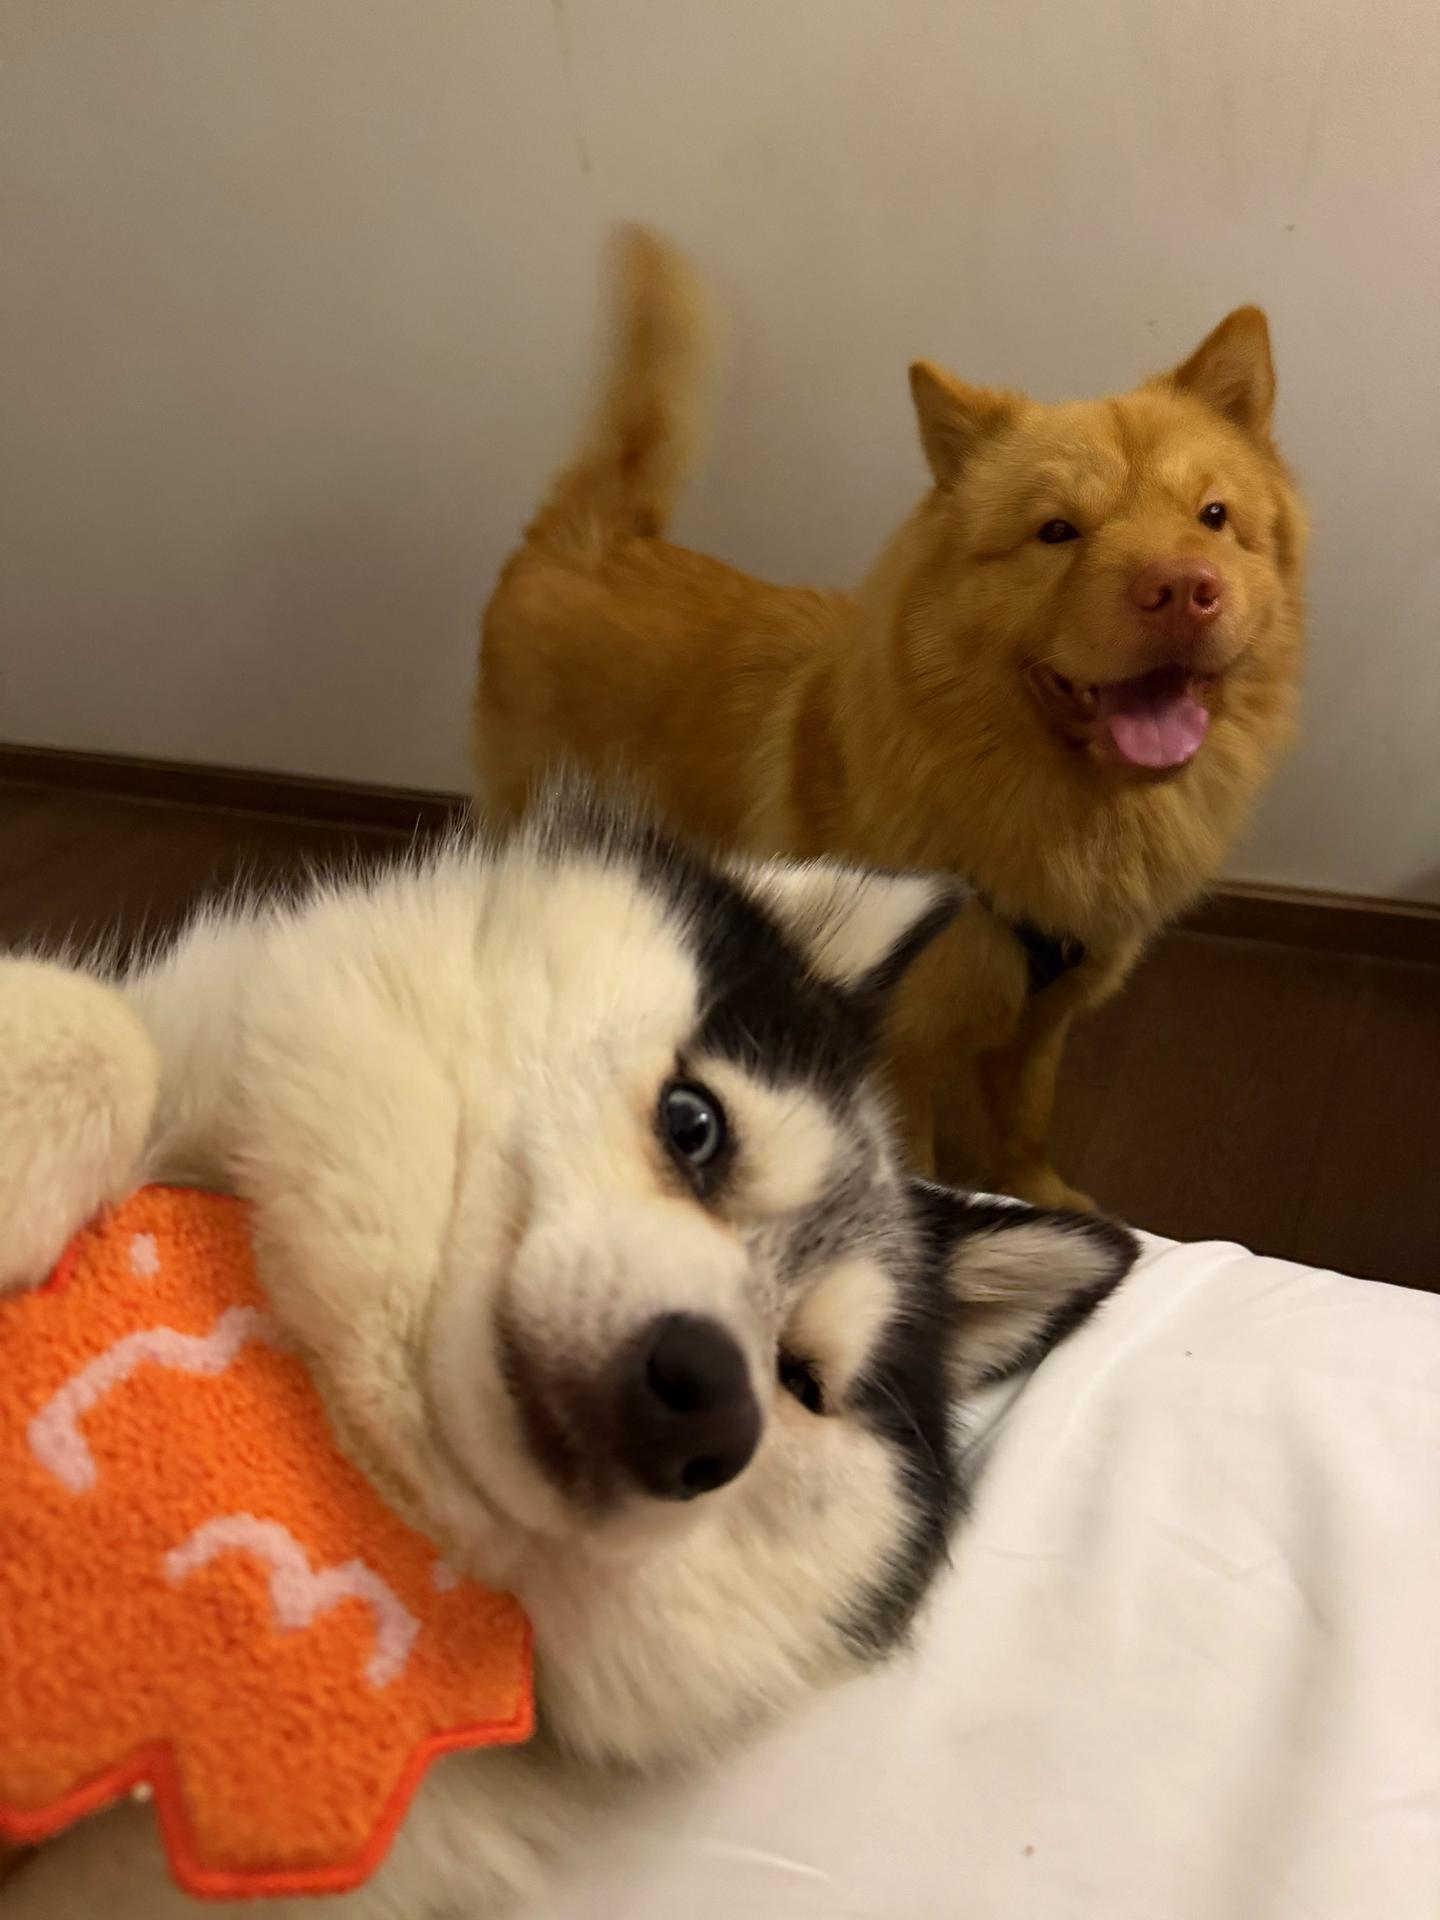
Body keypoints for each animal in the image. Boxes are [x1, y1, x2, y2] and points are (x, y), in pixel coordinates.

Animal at [476, 229, 1307, 1209]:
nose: (1184, 588)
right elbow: (916, 1163)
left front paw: (1042, 1196)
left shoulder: (1041, 1021)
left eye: (1214, 517)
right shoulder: (901, 1054)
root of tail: (584, 537)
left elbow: (1024, 1122)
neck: (1038, 799)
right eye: (1057, 532)